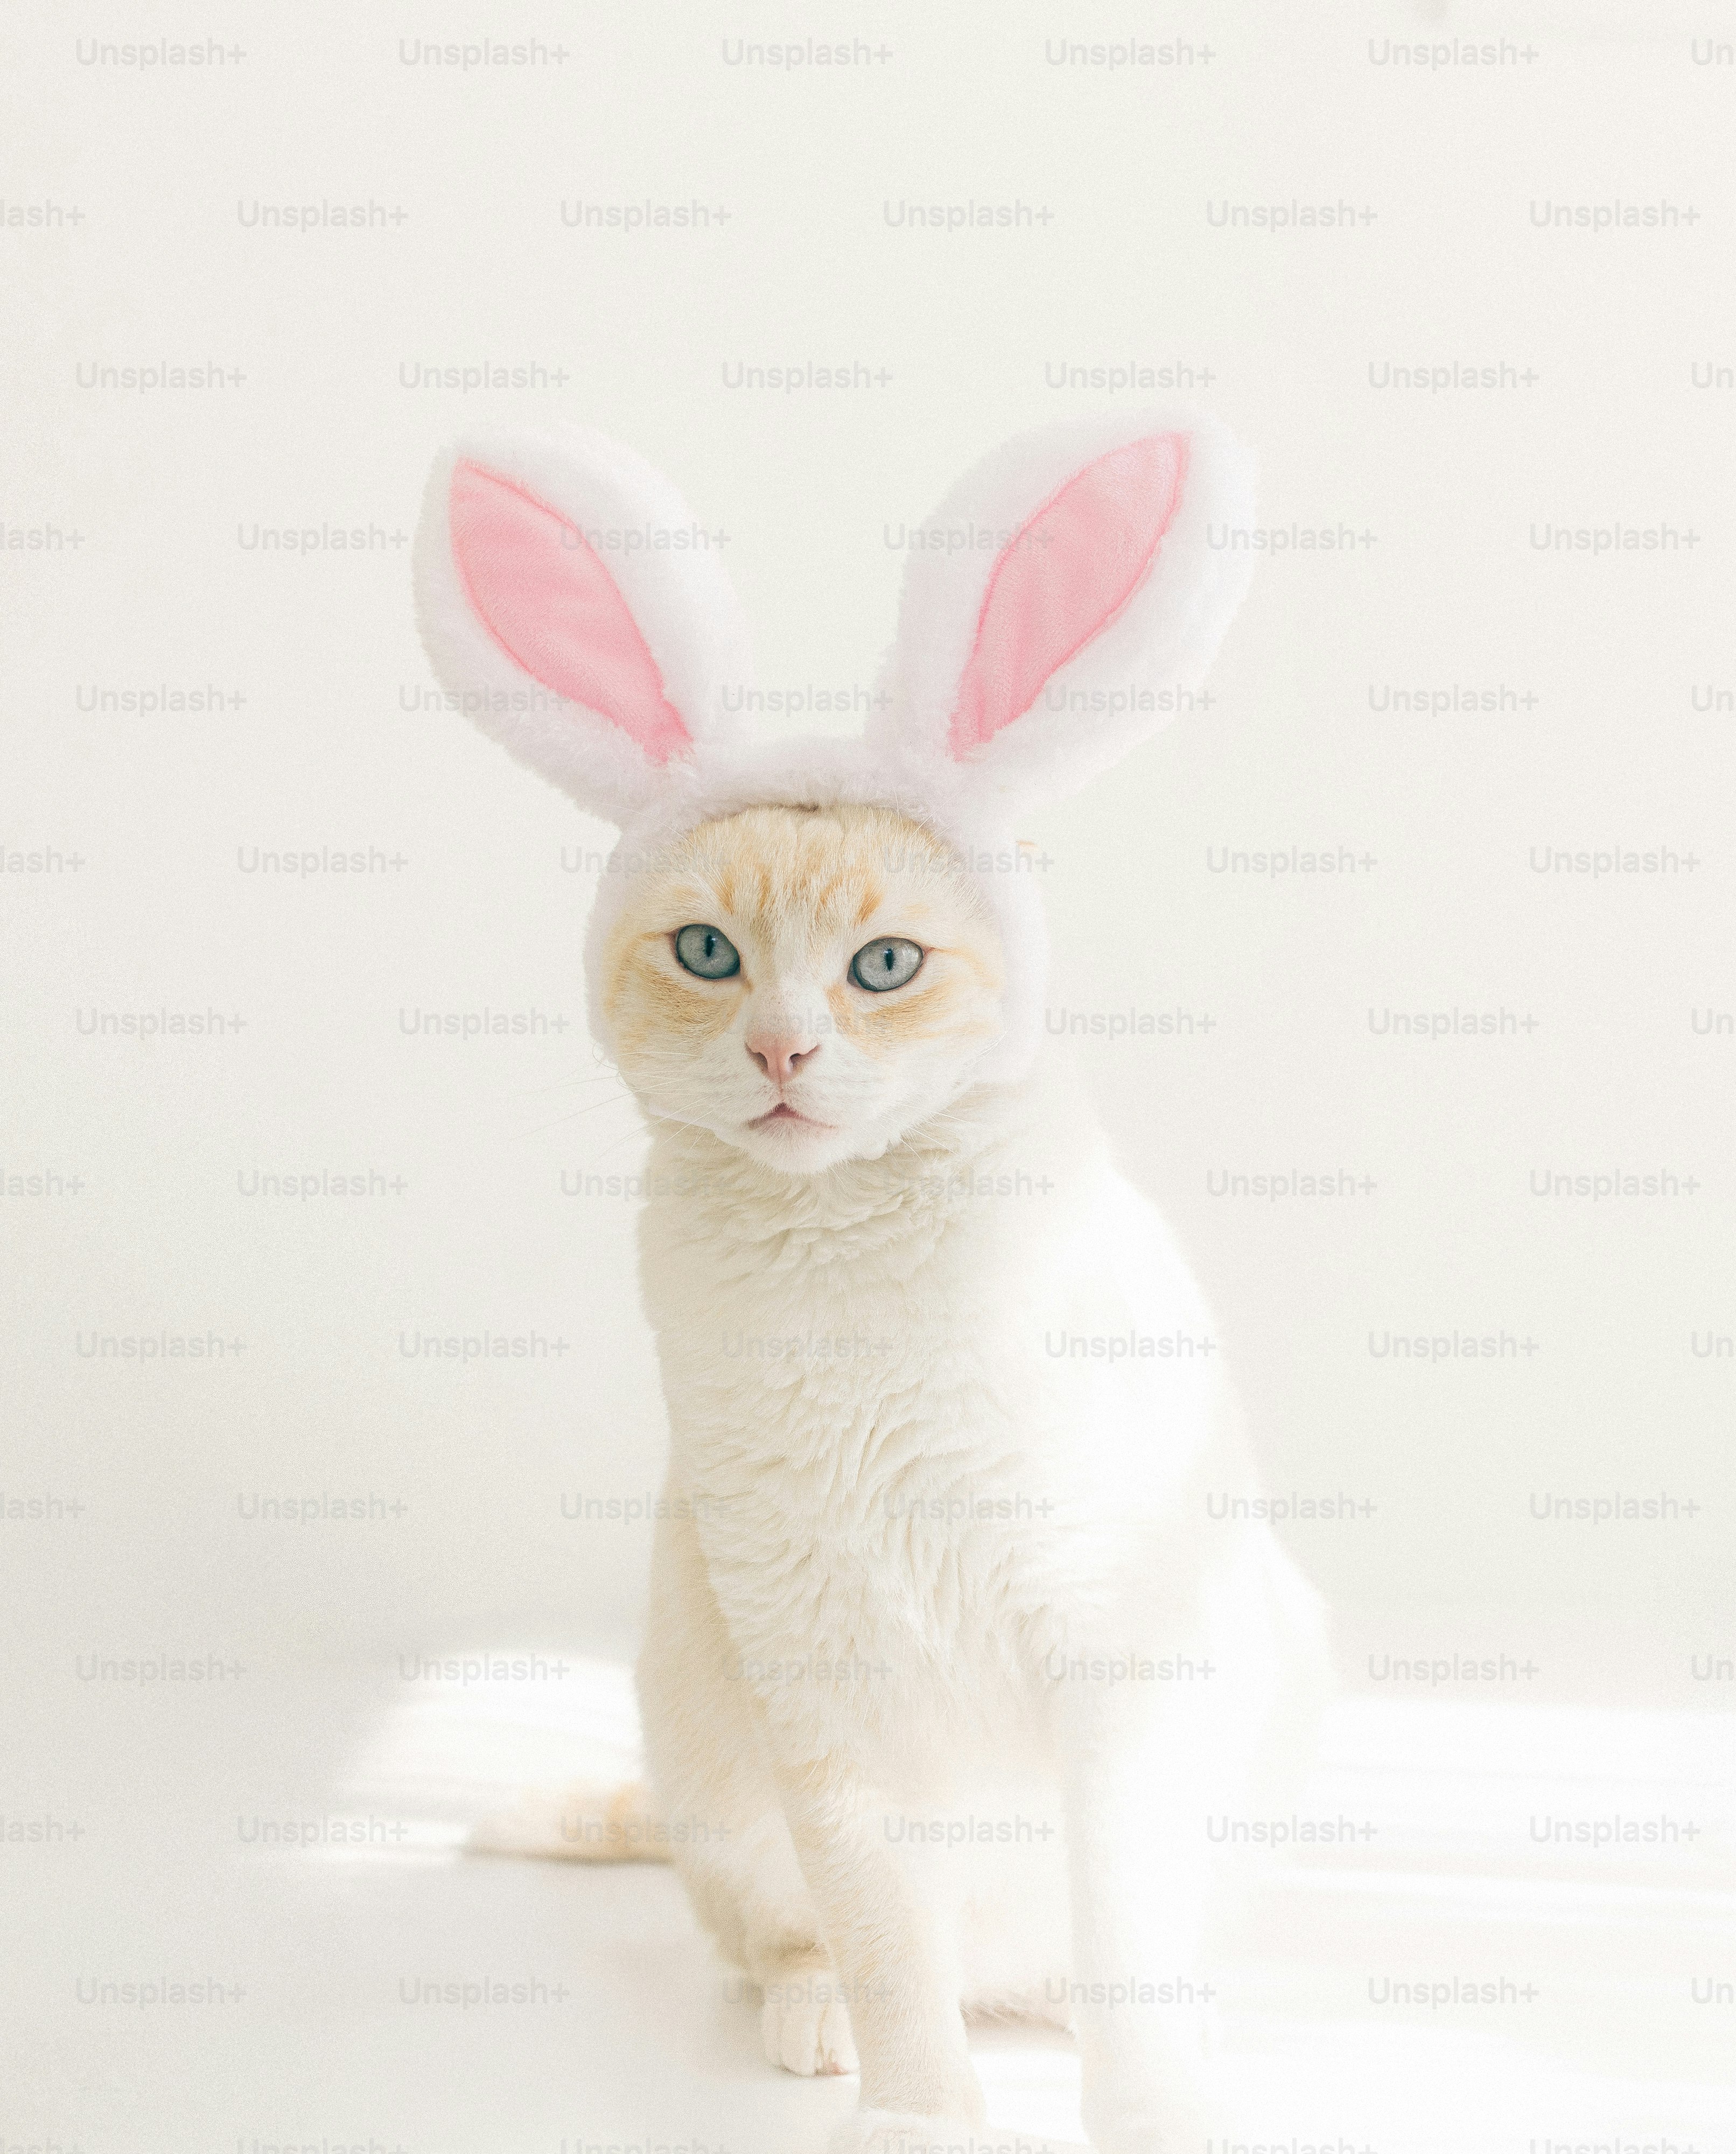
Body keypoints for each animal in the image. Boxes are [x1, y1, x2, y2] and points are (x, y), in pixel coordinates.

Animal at [412, 408, 1330, 2154]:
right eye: (710, 955)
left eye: (881, 969)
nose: (782, 1050)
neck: (844, 1277)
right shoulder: (812, 1677)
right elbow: (887, 1938)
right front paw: (920, 2113)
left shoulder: (1108, 1651)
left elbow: (1124, 1925)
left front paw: (1152, 2108)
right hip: (716, 1749)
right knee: (797, 1943)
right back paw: (822, 2021)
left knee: (1096, 1956)